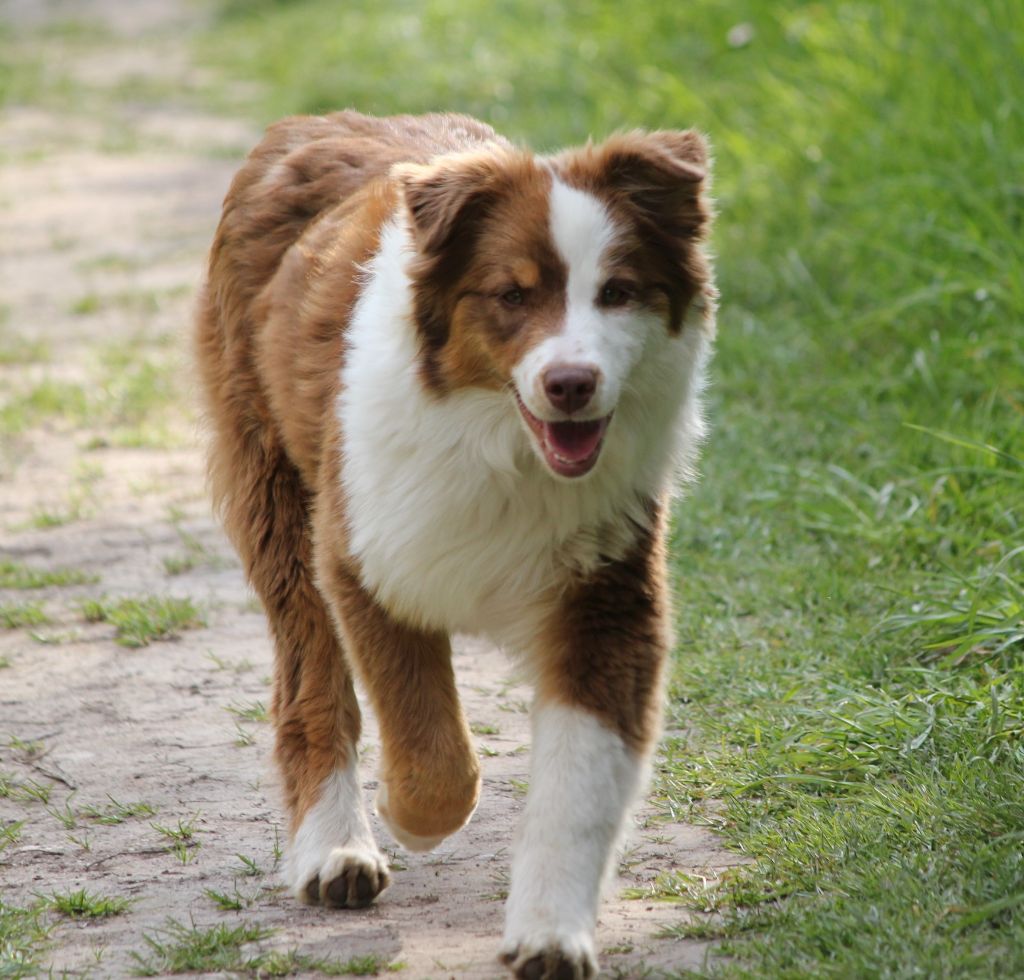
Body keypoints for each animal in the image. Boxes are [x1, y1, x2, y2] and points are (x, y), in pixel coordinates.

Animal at [195, 111, 716, 974]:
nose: (571, 384)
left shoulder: (608, 589)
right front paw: (407, 816)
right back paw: (335, 852)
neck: (502, 443)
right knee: (311, 683)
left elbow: (580, 782)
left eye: (617, 291)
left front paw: (551, 934)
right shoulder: (362, 553)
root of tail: (310, 121)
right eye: (512, 294)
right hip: (275, 496)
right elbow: (433, 753)